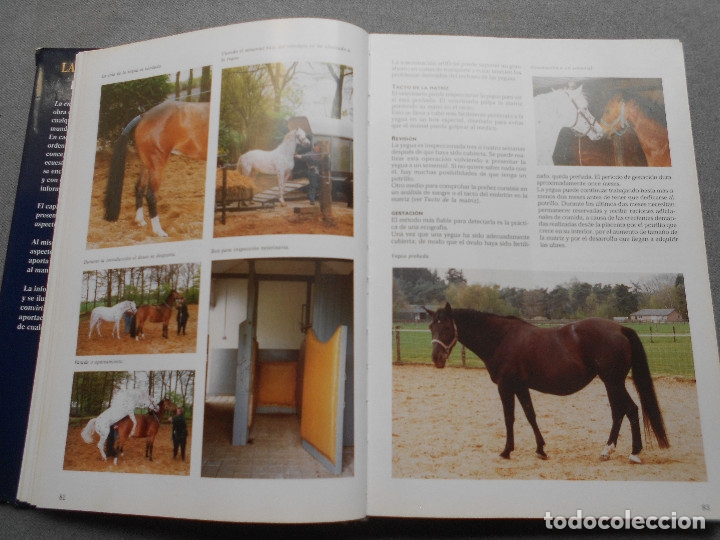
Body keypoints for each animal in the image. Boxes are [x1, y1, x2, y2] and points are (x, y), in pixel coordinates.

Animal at [104, 100, 210, 237]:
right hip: (157, 166)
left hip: (146, 164)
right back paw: (158, 231)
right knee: (151, 195)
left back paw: (140, 221)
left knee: (139, 187)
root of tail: (144, 115)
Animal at [425, 303, 669, 463]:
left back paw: (634, 453)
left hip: (613, 381)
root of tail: (620, 328)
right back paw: (607, 451)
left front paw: (506, 451)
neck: (502, 338)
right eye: (431, 327)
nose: (437, 358)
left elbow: (509, 418)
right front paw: (541, 449)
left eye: (447, 327)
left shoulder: (506, 386)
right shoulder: (520, 387)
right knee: (619, 412)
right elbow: (530, 415)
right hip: (611, 383)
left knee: (630, 409)